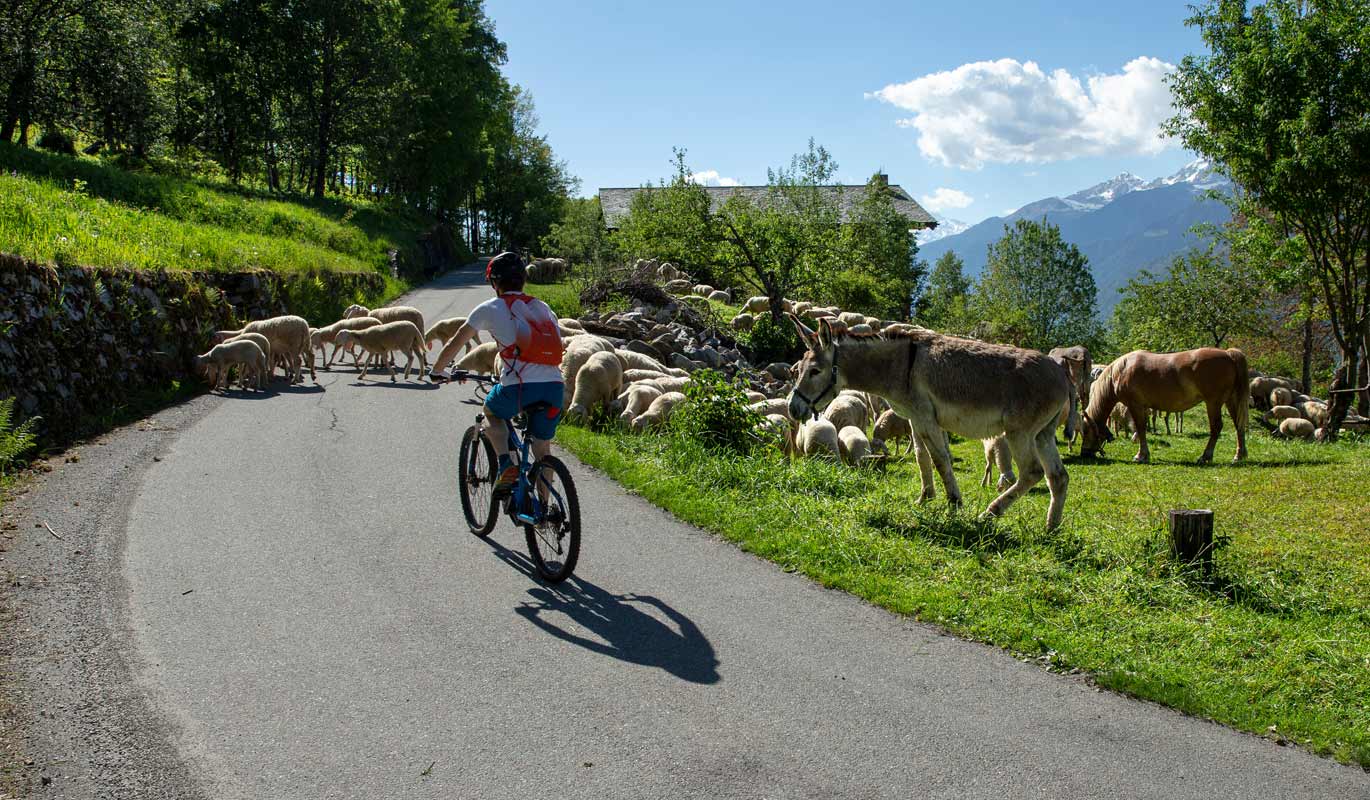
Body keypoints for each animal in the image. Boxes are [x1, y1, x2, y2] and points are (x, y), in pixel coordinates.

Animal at [789, 315, 1074, 528]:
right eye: (798, 370)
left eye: (815, 371)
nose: (793, 409)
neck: (900, 365)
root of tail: (1061, 372)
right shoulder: (915, 419)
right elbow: (920, 456)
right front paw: (925, 498)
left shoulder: (925, 418)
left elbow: (940, 459)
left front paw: (954, 504)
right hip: (1043, 434)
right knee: (1058, 476)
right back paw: (1051, 527)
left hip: (1019, 433)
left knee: (1032, 472)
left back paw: (990, 513)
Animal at [1079, 347, 1254, 463]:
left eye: (1086, 431)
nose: (1084, 454)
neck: (1122, 370)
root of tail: (1228, 354)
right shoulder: (1143, 407)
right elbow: (1142, 428)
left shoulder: (1135, 405)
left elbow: (1140, 428)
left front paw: (1141, 455)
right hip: (1231, 400)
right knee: (1238, 425)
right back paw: (1239, 455)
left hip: (1213, 402)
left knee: (1216, 427)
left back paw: (1205, 456)